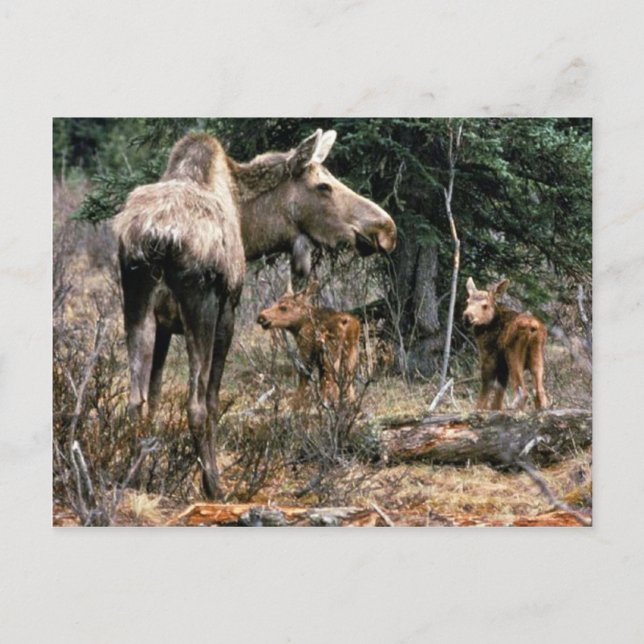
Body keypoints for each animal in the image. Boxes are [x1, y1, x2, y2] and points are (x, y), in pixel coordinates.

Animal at [112, 129, 396, 498]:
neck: (249, 229)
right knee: (196, 404)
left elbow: (154, 398)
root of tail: (156, 239)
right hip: (201, 306)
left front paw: (147, 477)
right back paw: (215, 486)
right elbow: (212, 401)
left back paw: (130, 480)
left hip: (136, 304)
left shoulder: (162, 326)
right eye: (324, 186)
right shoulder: (228, 312)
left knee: (135, 402)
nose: (386, 229)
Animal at [463, 277, 548, 411]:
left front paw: (479, 410)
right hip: (537, 355)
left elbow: (486, 386)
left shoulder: (489, 355)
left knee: (523, 392)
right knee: (540, 392)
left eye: (485, 306)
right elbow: (500, 390)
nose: (467, 316)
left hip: (513, 353)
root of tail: (532, 327)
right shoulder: (502, 365)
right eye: (467, 302)